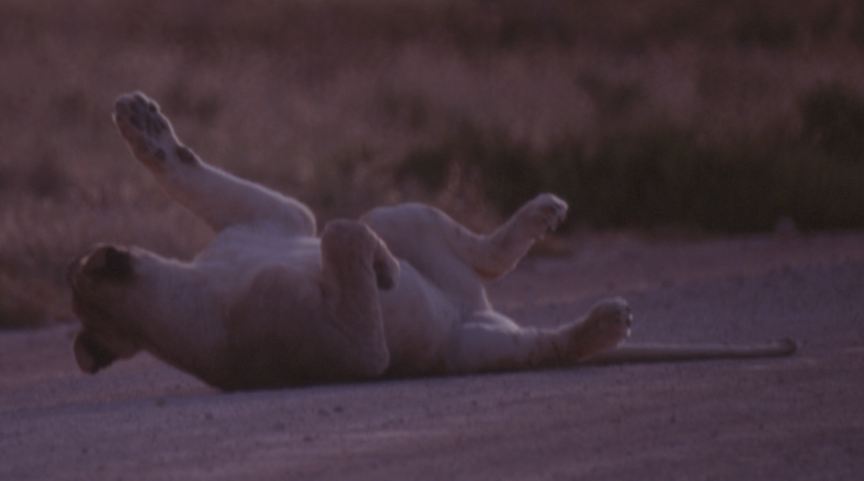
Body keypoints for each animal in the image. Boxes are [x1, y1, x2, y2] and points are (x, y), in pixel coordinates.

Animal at [68, 92, 796, 391]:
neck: (191, 282)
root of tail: (477, 312)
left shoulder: (279, 217)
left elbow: (192, 174)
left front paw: (142, 123)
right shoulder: (352, 355)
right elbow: (342, 238)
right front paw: (383, 272)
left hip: (405, 211)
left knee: (481, 253)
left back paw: (544, 212)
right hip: (480, 350)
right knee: (546, 347)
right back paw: (604, 321)